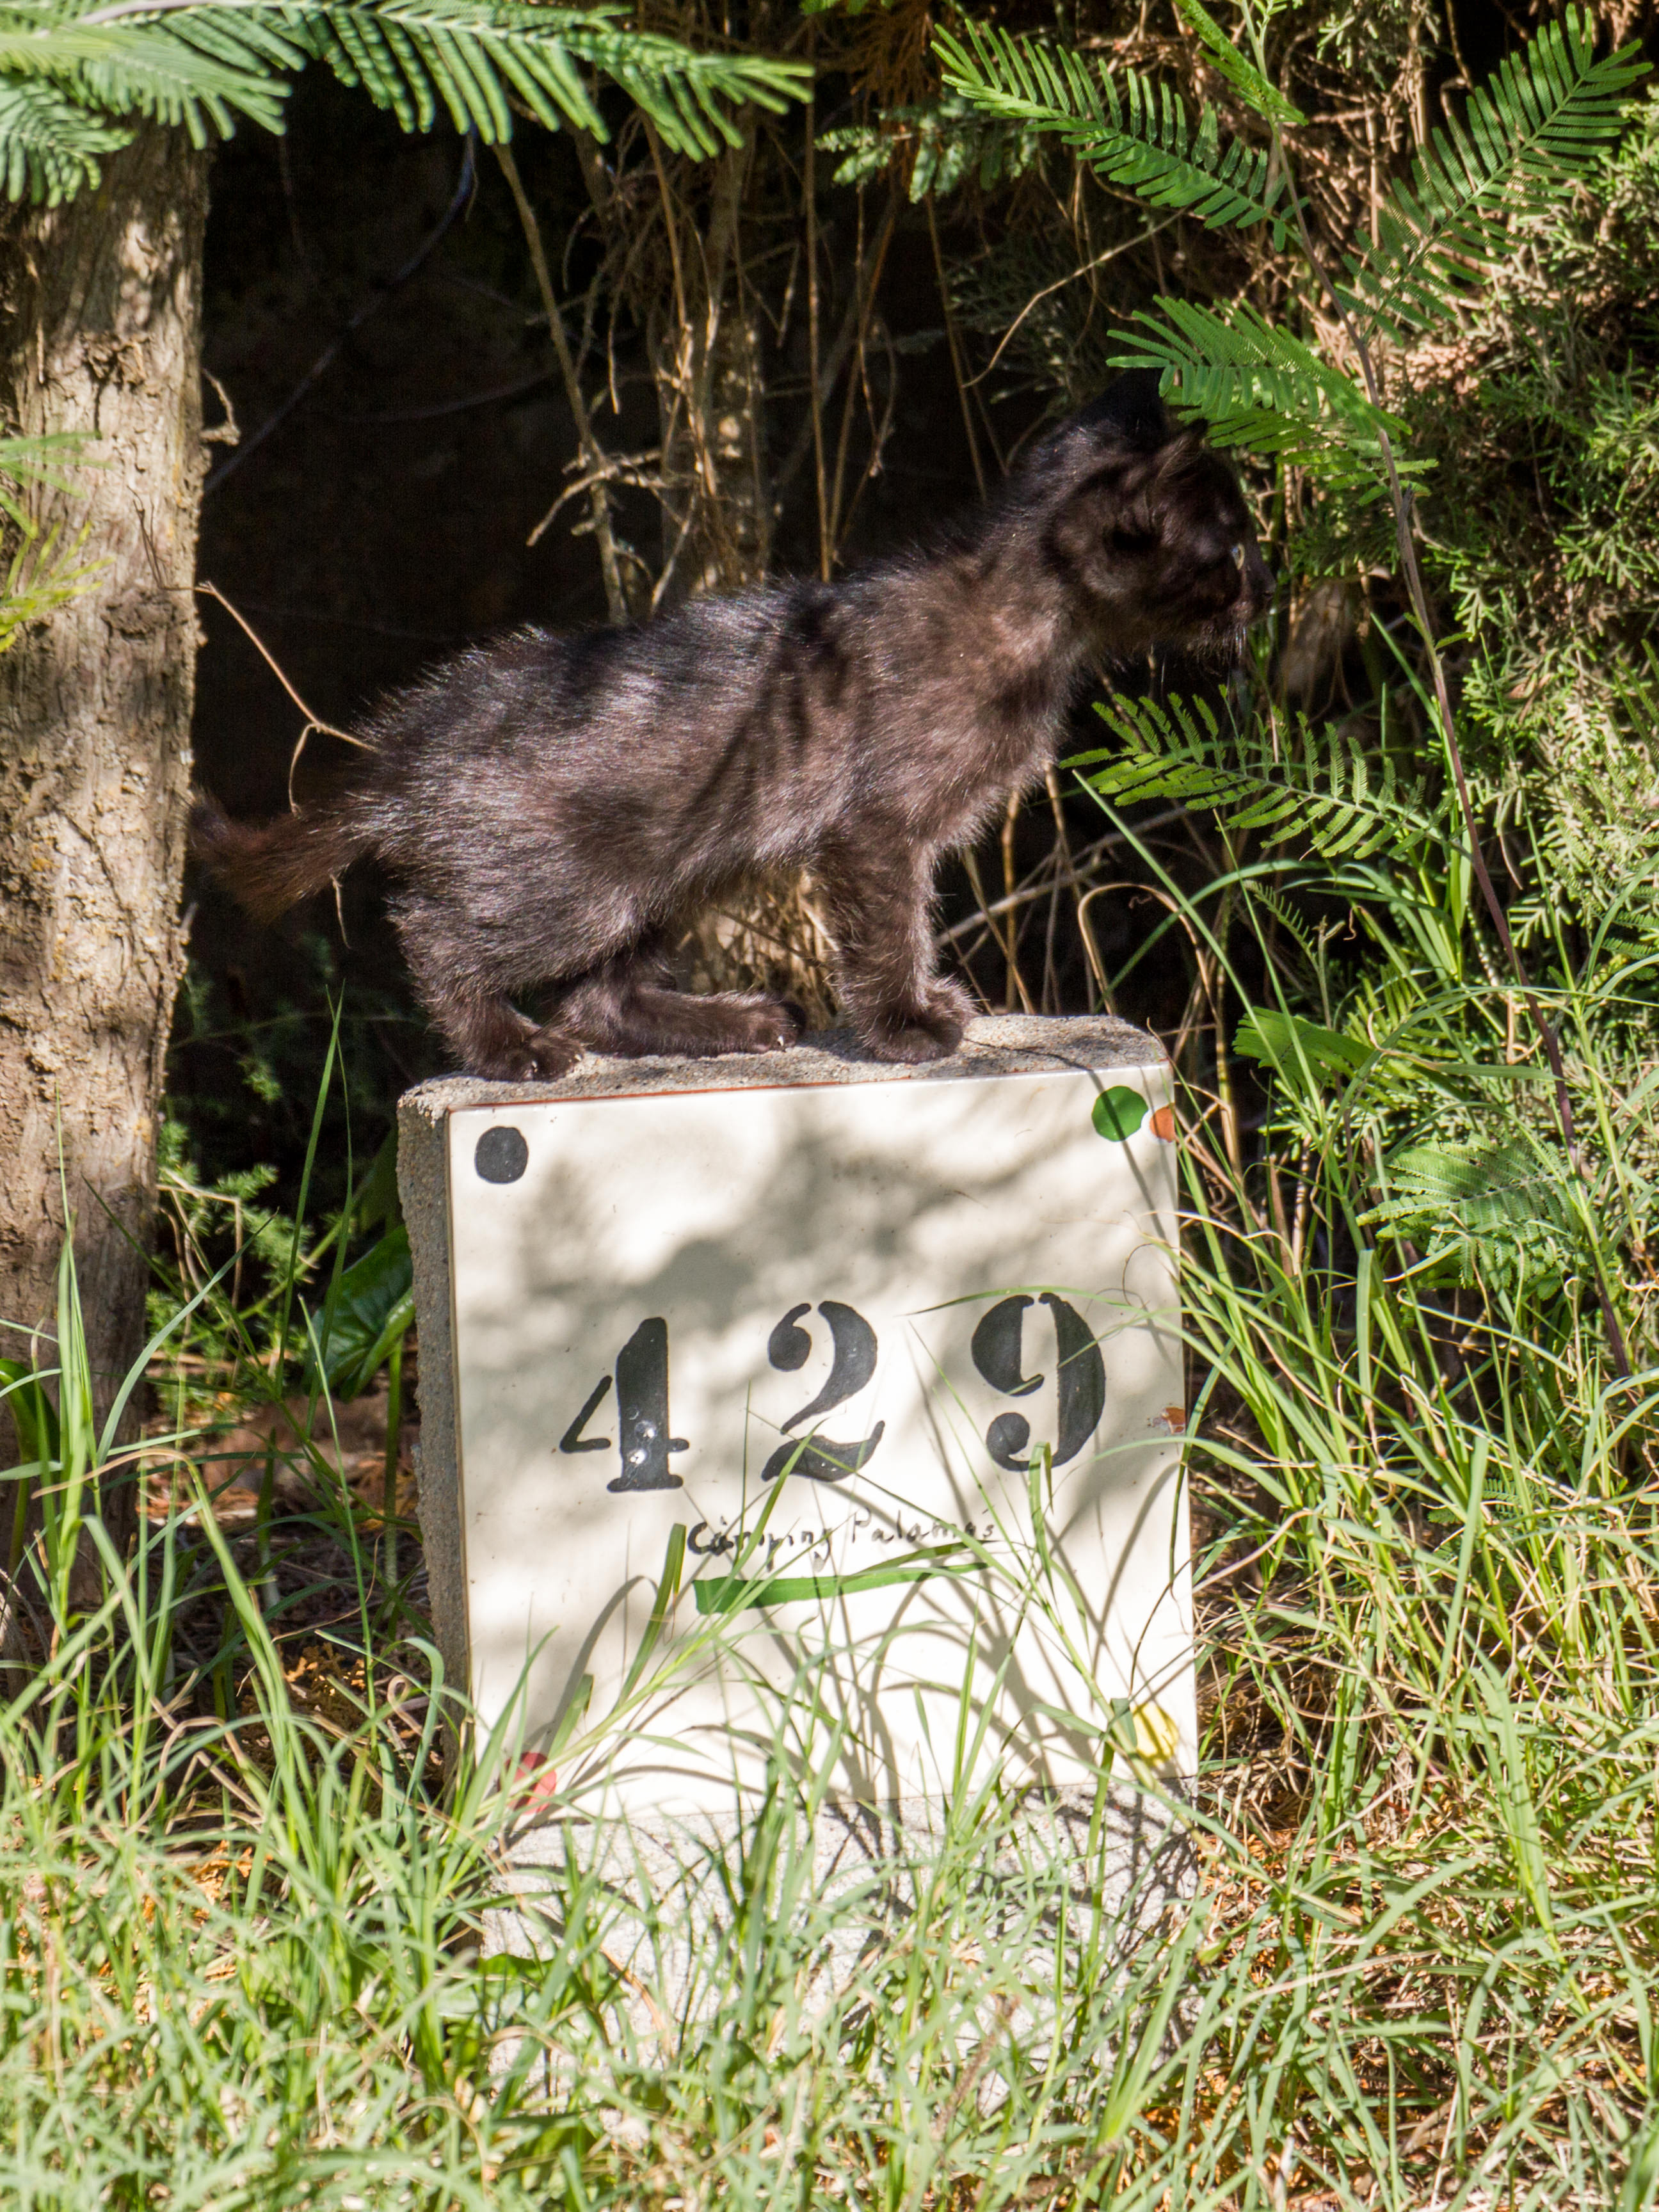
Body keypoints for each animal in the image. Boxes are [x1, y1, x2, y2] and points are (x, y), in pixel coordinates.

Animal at [193, 371, 1271, 1079]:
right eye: (1229, 546)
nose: (1265, 589)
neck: (1027, 618)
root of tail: (410, 742)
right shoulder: (876, 828)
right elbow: (892, 931)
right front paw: (907, 1026)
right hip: (569, 888)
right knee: (438, 936)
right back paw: (513, 1048)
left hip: (669, 877)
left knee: (598, 996)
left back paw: (735, 1024)